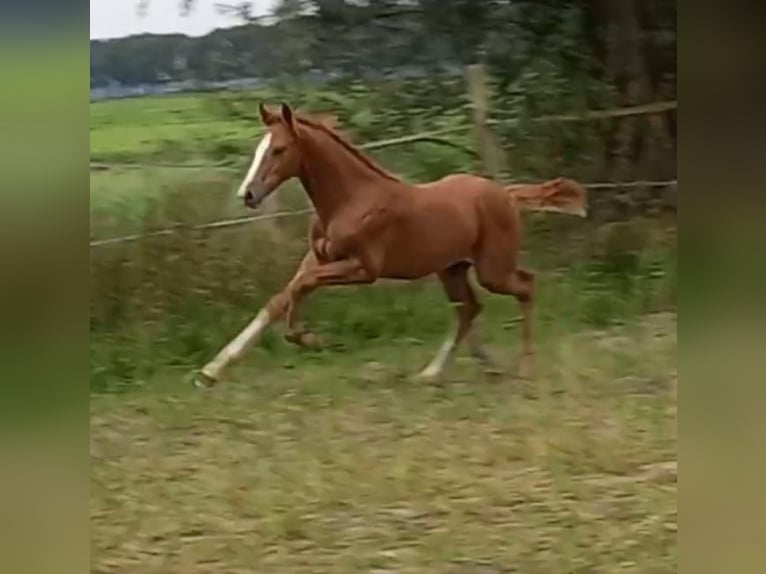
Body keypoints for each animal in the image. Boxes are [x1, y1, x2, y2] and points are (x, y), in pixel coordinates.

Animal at [194, 105, 588, 390]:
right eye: (258, 150)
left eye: (278, 149)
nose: (247, 195)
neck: (351, 198)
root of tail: (504, 193)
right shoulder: (317, 258)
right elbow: (280, 298)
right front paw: (212, 370)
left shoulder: (362, 268)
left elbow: (299, 288)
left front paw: (308, 338)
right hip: (452, 269)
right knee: (469, 309)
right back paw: (436, 373)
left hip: (493, 269)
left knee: (525, 285)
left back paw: (525, 368)